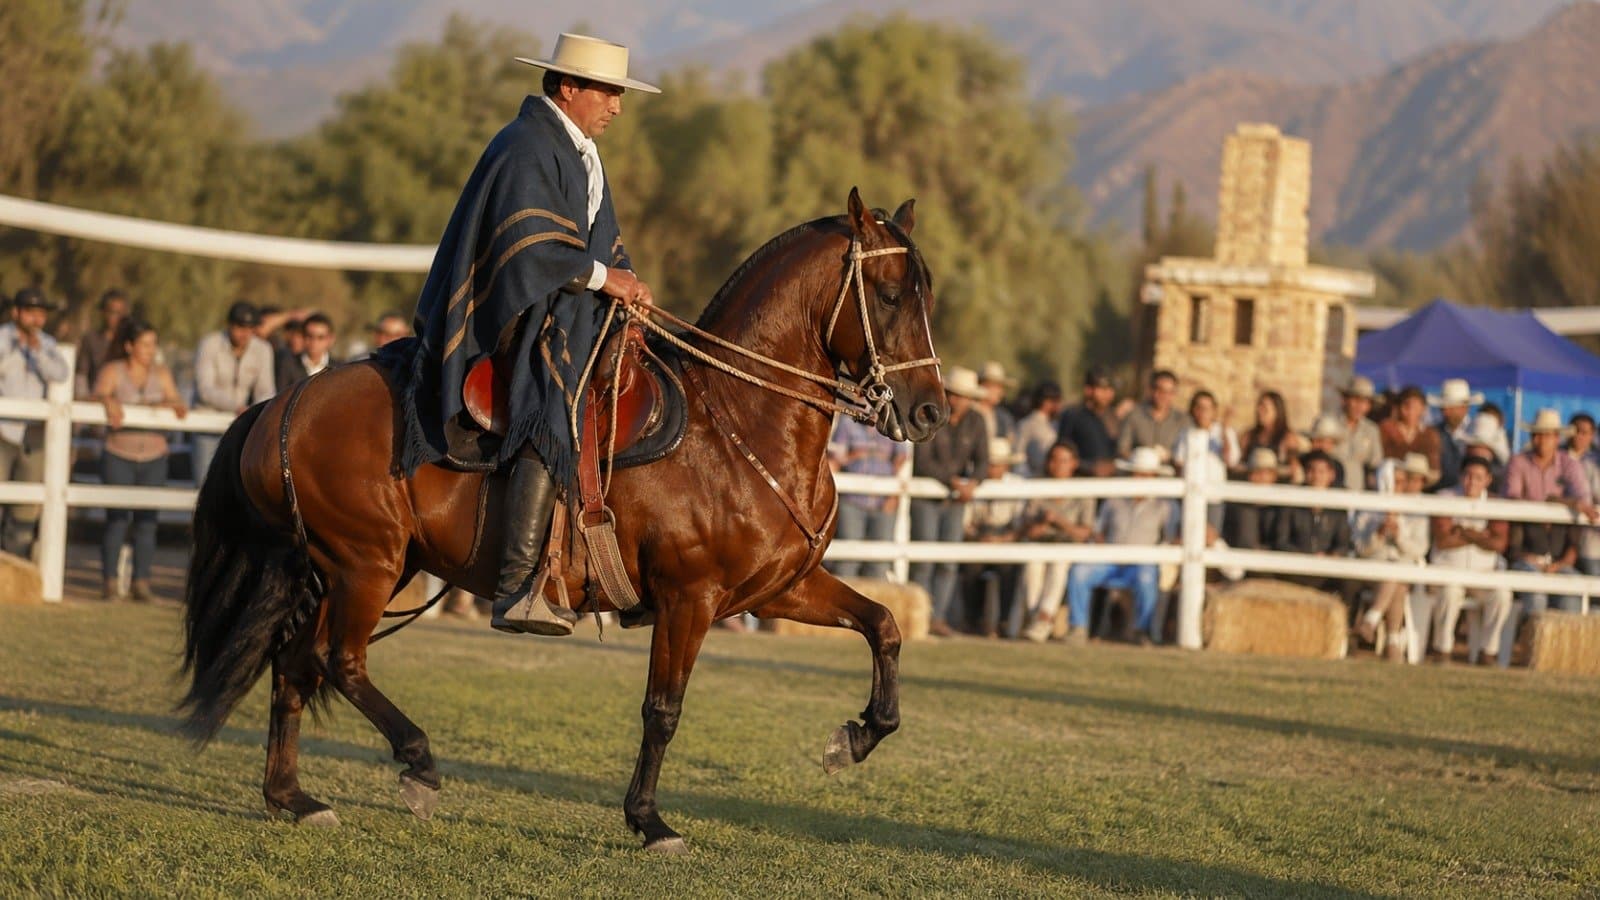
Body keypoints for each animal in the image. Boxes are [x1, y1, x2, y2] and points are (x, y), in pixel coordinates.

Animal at [179, 188, 947, 852]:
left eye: (927, 295)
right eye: (888, 295)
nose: (930, 412)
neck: (736, 422)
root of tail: (288, 400)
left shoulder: (776, 589)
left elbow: (883, 626)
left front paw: (855, 738)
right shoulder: (689, 599)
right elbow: (663, 710)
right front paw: (648, 820)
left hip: (348, 570)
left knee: (295, 668)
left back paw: (292, 798)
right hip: (366, 565)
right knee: (341, 662)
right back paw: (416, 764)